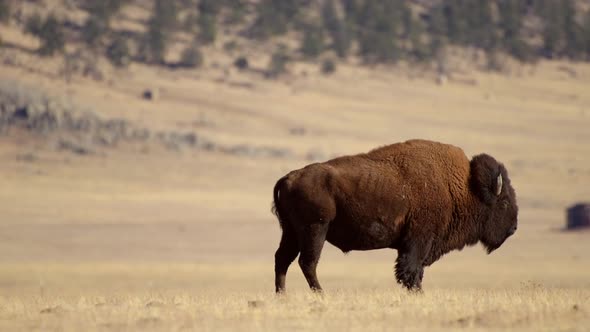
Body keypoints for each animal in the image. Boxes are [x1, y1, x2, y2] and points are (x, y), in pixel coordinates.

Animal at [272, 139, 520, 292]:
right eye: (504, 202)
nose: (514, 228)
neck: (463, 187)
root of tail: (288, 178)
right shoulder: (419, 240)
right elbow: (411, 270)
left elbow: (414, 271)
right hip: (315, 229)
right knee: (307, 262)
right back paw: (321, 294)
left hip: (291, 232)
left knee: (283, 259)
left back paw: (282, 295)